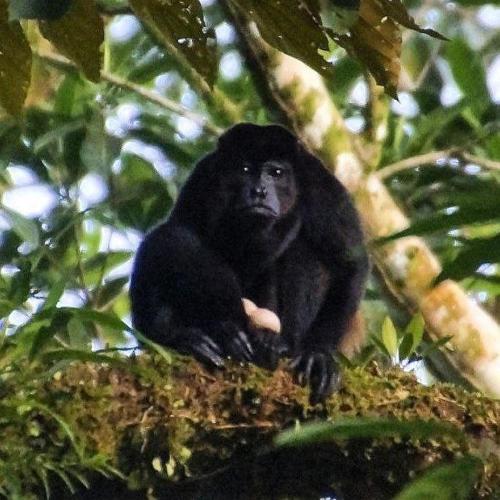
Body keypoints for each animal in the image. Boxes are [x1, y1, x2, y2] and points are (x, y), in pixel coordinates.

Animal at [131, 124, 370, 402]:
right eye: (245, 169)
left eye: (276, 173)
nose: (259, 191)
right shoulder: (203, 178)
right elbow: (176, 235)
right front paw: (203, 334)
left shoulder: (320, 185)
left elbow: (350, 263)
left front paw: (318, 353)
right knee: (167, 240)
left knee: (304, 250)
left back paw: (277, 344)